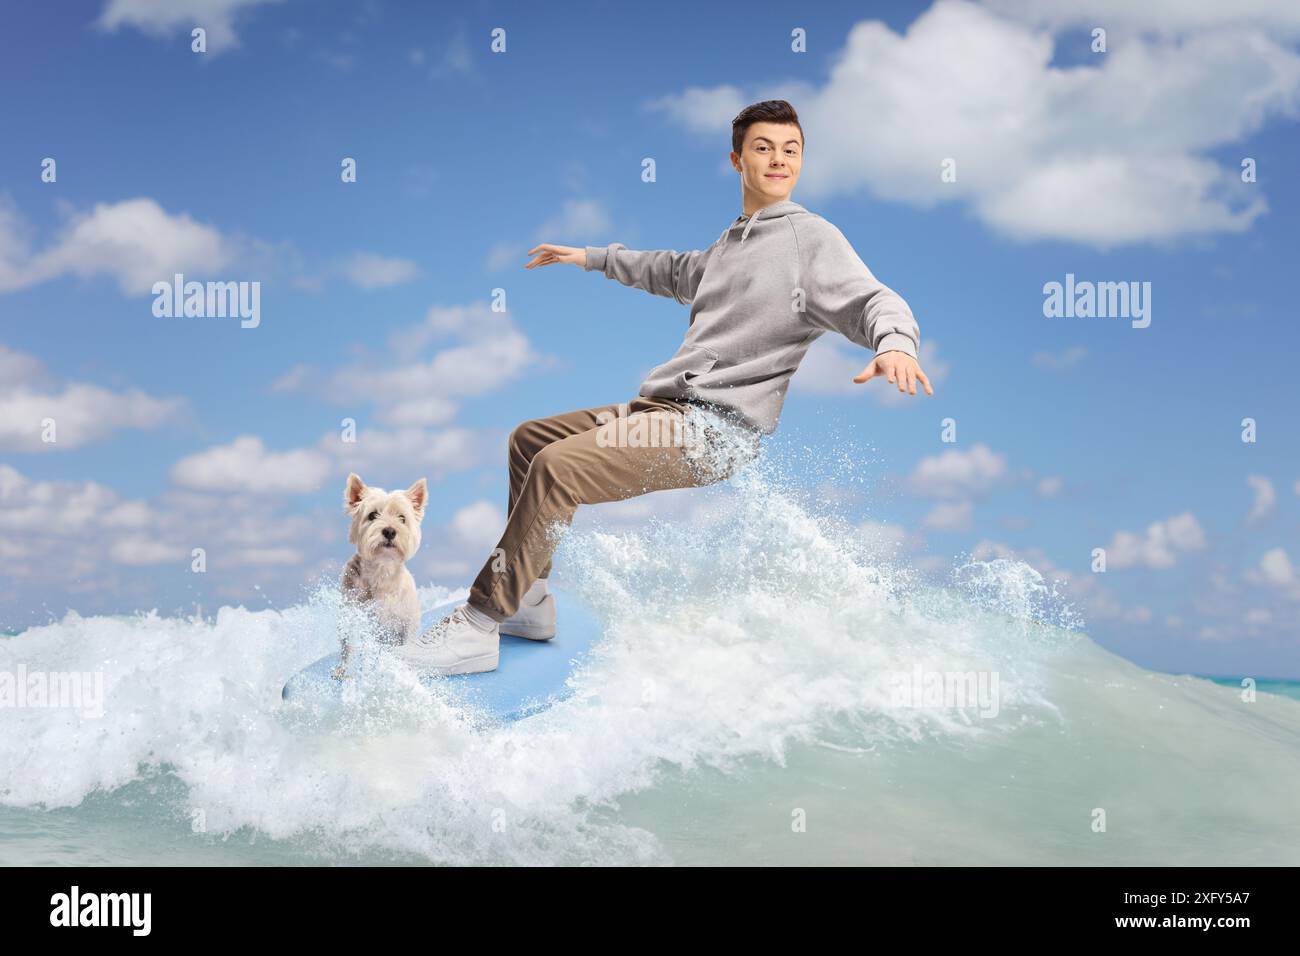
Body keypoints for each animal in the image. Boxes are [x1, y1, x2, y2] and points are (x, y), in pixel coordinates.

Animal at [335, 473, 426, 681]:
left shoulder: (406, 620)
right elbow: (348, 645)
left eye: (402, 518)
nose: (390, 531)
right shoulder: (352, 615)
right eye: (372, 515)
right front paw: (344, 670)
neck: (381, 570)